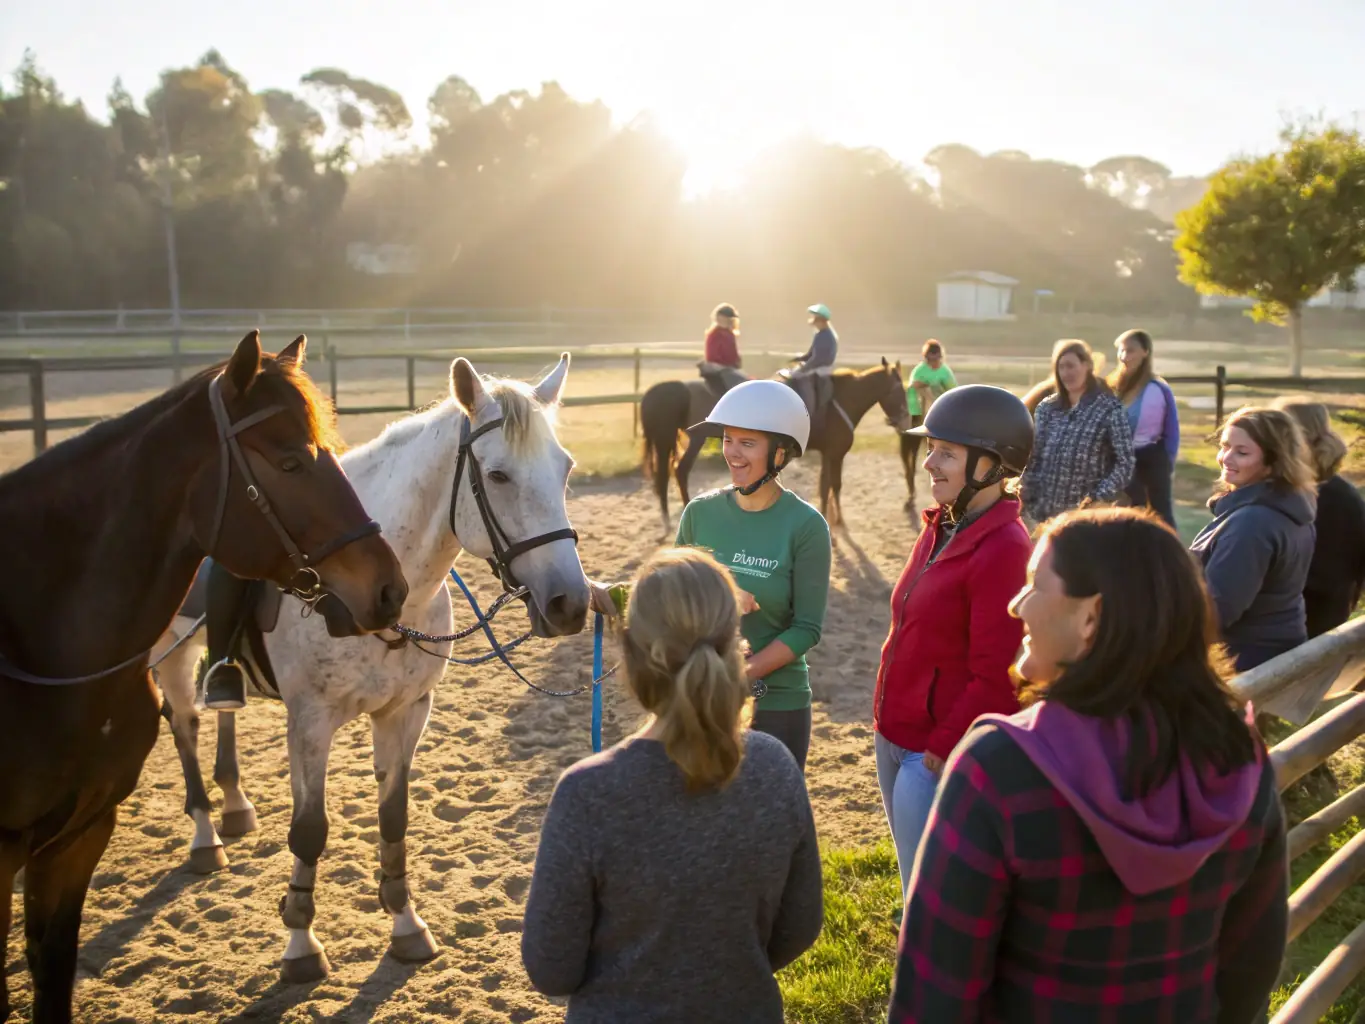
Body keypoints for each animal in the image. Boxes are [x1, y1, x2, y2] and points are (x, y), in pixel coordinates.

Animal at [152, 353, 589, 983]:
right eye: (499, 476)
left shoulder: (405, 714)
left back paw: (234, 808)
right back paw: (206, 835)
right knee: (184, 723)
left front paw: (406, 926)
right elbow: (310, 831)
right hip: (168, 653)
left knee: (220, 711)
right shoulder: (311, 722)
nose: (570, 603)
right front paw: (300, 943)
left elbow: (393, 819)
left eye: (564, 469)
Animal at [640, 359, 912, 532]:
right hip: (687, 440)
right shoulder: (835, 454)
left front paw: (832, 519)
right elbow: (832, 485)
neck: (840, 401)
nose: (906, 420)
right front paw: (837, 523)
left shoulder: (829, 455)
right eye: (900, 390)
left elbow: (827, 485)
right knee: (675, 472)